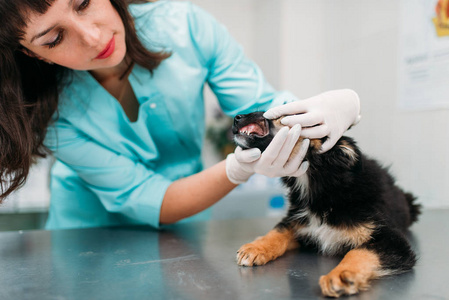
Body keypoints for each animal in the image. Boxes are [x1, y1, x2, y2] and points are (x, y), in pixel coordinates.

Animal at [233, 112, 418, 298]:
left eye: (284, 114)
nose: (236, 117)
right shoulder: (299, 220)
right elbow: (279, 230)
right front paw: (256, 247)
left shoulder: (391, 239)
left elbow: (360, 252)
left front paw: (341, 275)